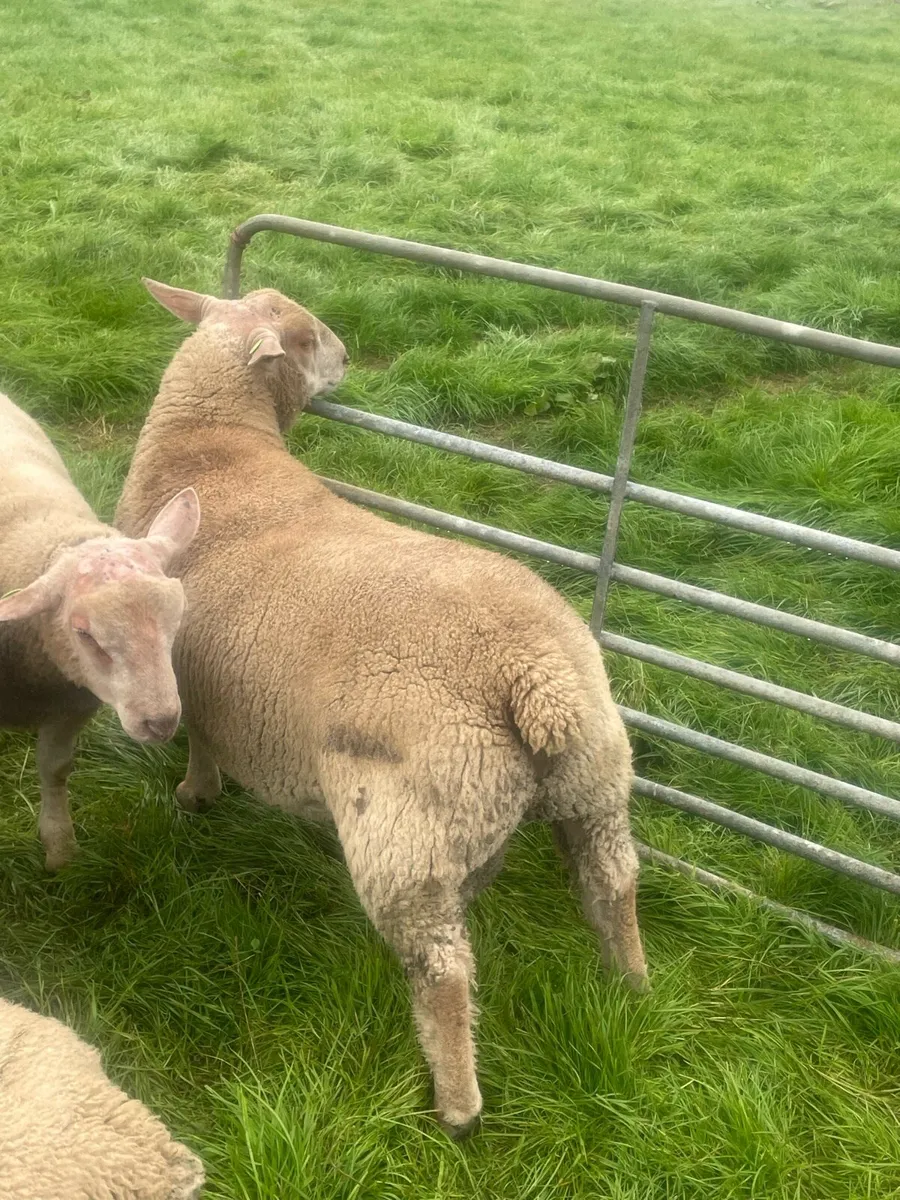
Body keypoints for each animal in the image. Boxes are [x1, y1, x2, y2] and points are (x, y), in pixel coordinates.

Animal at [0, 391, 200, 869]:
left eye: (177, 620)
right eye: (85, 634)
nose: (161, 723)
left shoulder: (70, 706)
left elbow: (55, 769)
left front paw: (61, 850)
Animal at [115, 278, 648, 1137]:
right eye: (306, 337)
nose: (347, 357)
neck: (212, 446)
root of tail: (535, 675)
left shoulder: (184, 672)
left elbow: (201, 740)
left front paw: (195, 795)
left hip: (404, 828)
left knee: (443, 969)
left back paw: (457, 1104)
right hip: (592, 779)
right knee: (611, 880)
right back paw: (629, 983)